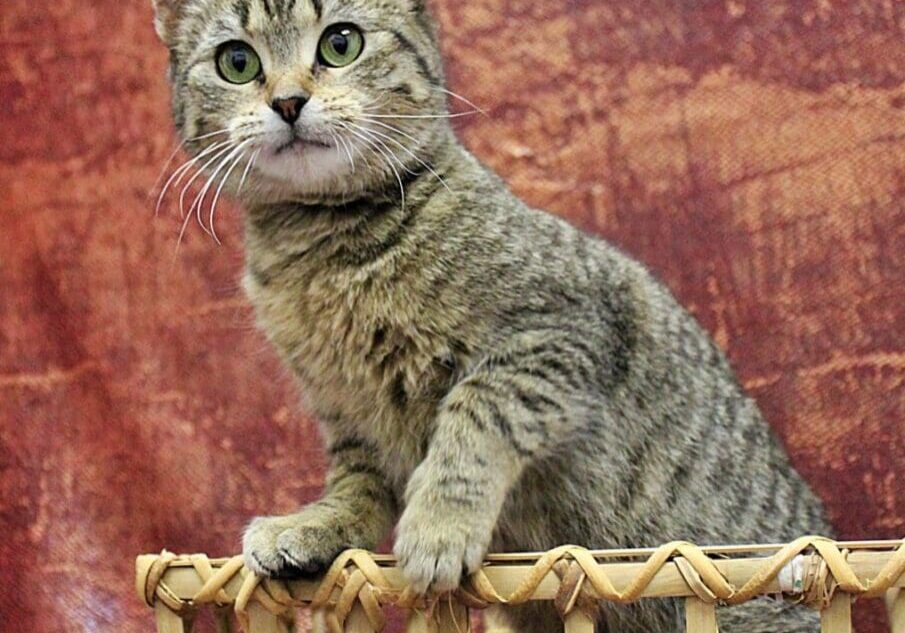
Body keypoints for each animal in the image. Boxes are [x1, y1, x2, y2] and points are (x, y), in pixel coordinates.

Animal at [150, 0, 832, 628]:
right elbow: (356, 486)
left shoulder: (561, 331)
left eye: (341, 43)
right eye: (237, 62)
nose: (288, 102)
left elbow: (473, 410)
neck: (326, 251)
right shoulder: (348, 415)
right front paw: (316, 525)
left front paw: (438, 526)